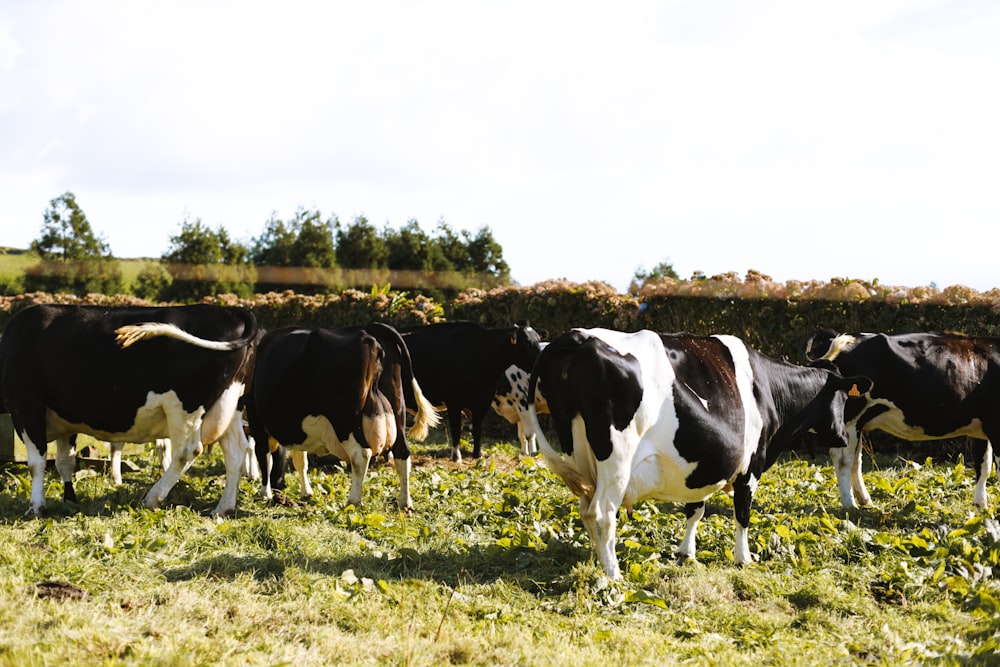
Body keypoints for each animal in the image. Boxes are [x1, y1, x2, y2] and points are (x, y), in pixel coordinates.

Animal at [0, 302, 262, 516]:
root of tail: (231, 311)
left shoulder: (26, 405)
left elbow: (37, 462)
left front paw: (36, 506)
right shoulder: (66, 417)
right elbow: (65, 461)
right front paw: (69, 499)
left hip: (186, 406)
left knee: (187, 450)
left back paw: (153, 498)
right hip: (230, 405)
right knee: (237, 450)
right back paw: (223, 507)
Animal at [244, 322, 436, 506]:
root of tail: (369, 328)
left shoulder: (256, 422)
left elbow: (264, 457)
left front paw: (265, 494)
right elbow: (300, 460)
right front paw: (306, 492)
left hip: (345, 419)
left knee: (361, 454)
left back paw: (353, 501)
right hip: (397, 407)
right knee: (402, 451)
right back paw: (405, 502)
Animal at [398, 322, 544, 460]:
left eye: (538, 340)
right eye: (526, 343)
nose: (541, 361)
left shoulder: (483, 400)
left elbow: (477, 429)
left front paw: (477, 455)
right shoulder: (454, 400)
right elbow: (456, 429)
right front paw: (456, 456)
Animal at [528, 328, 872, 580]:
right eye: (843, 398)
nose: (843, 436)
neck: (768, 389)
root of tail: (578, 337)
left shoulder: (701, 465)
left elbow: (695, 509)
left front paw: (686, 553)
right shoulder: (750, 466)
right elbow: (742, 514)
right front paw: (744, 559)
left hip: (581, 457)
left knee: (586, 510)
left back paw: (598, 561)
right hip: (616, 461)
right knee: (600, 513)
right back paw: (614, 575)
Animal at [800, 330, 1000, 512]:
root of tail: (846, 338)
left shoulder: (981, 429)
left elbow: (983, 466)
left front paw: (981, 507)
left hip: (858, 423)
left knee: (855, 459)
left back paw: (865, 500)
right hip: (849, 418)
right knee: (843, 459)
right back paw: (850, 505)